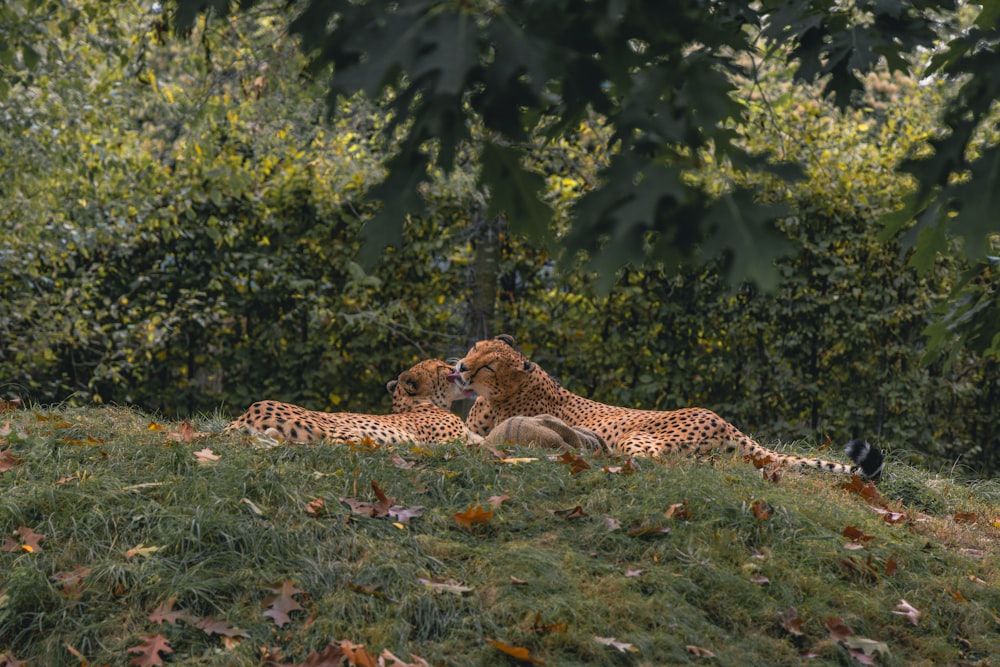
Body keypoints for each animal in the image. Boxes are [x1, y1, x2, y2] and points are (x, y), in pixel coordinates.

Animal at [450, 336, 888, 478]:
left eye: (489, 363)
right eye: (474, 348)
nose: (461, 367)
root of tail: (723, 421)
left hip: (639, 437)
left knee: (659, 461)